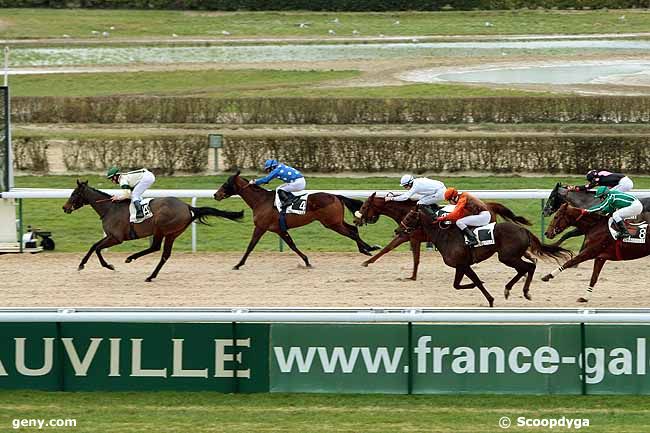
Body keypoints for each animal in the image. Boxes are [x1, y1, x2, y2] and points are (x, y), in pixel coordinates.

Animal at [62, 179, 243, 280]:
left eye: (74, 193)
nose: (65, 208)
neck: (109, 208)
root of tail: (188, 207)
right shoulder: (110, 236)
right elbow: (94, 246)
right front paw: (81, 265)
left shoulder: (116, 238)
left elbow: (98, 249)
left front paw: (108, 266)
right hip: (172, 233)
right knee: (164, 254)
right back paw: (150, 275)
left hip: (161, 228)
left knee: (155, 247)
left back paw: (132, 259)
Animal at [213, 171, 378, 266]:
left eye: (226, 183)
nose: (216, 194)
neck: (261, 201)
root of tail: (336, 196)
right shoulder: (279, 229)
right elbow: (292, 245)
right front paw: (306, 261)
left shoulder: (261, 227)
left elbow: (250, 246)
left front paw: (238, 264)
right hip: (336, 221)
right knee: (353, 229)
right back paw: (366, 249)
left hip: (332, 223)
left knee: (351, 233)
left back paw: (369, 248)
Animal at [354, 192, 532, 280]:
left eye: (364, 206)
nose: (356, 219)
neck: (407, 212)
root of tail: (489, 205)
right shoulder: (408, 235)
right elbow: (398, 251)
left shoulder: (411, 236)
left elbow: (396, 251)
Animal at [392, 208, 568, 306]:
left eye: (409, 217)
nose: (397, 230)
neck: (445, 236)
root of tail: (523, 230)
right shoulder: (460, 266)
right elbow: (457, 285)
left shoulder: (463, 265)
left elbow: (475, 281)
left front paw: (490, 300)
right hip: (510, 257)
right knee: (525, 268)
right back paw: (510, 289)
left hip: (507, 257)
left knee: (529, 266)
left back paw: (523, 291)